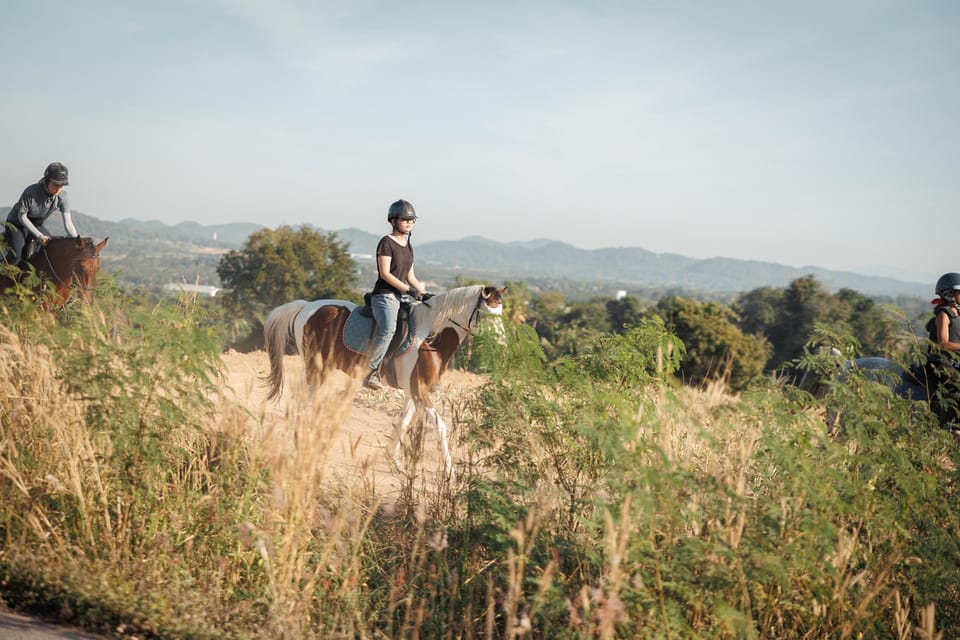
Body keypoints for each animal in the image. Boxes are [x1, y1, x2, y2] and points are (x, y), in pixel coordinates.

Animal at [258, 284, 506, 476]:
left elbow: (403, 422)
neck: (431, 339)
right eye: (488, 314)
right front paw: (449, 471)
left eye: (501, 314)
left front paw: (394, 461)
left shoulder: (414, 391)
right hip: (316, 369)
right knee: (303, 401)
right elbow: (440, 426)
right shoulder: (420, 391)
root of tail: (308, 306)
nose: (502, 346)